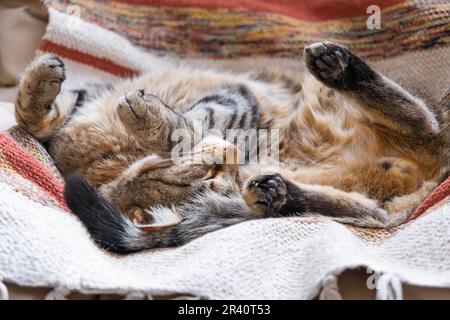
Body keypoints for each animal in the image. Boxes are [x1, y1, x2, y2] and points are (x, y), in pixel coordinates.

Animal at [15, 42, 448, 252]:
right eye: (211, 182)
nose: (231, 161)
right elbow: (33, 122)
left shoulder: (240, 100)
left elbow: (194, 121)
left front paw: (152, 119)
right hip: (364, 204)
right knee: (355, 203)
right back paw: (276, 192)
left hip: (411, 127)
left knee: (419, 117)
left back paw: (338, 66)